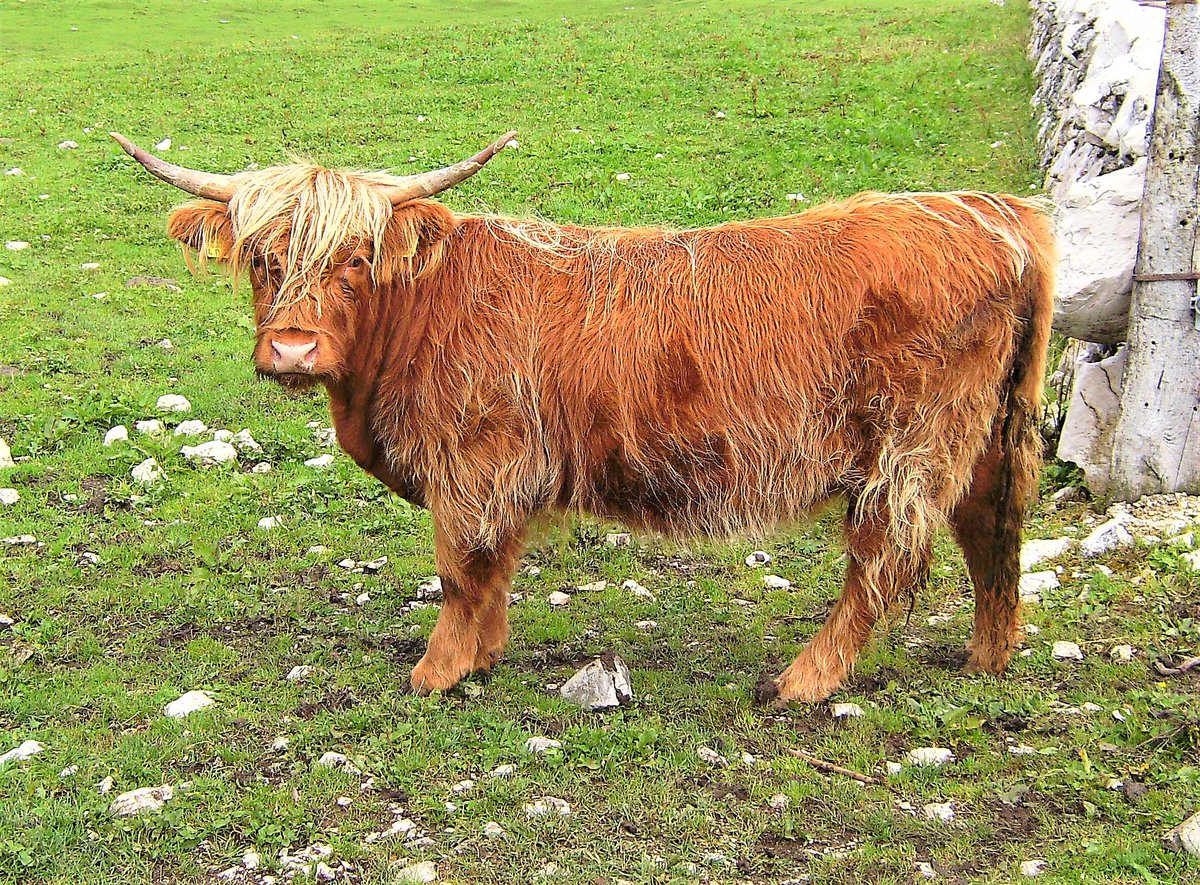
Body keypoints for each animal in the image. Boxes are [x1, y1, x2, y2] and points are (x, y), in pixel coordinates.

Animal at [110, 129, 1051, 705]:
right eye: (261, 258)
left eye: (356, 259)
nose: (294, 348)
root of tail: (991, 211)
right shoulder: (501, 472)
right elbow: (493, 568)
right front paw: (484, 655)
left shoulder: (475, 465)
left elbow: (461, 568)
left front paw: (435, 671)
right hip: (986, 438)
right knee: (993, 534)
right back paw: (988, 657)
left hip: (910, 448)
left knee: (886, 561)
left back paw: (803, 680)